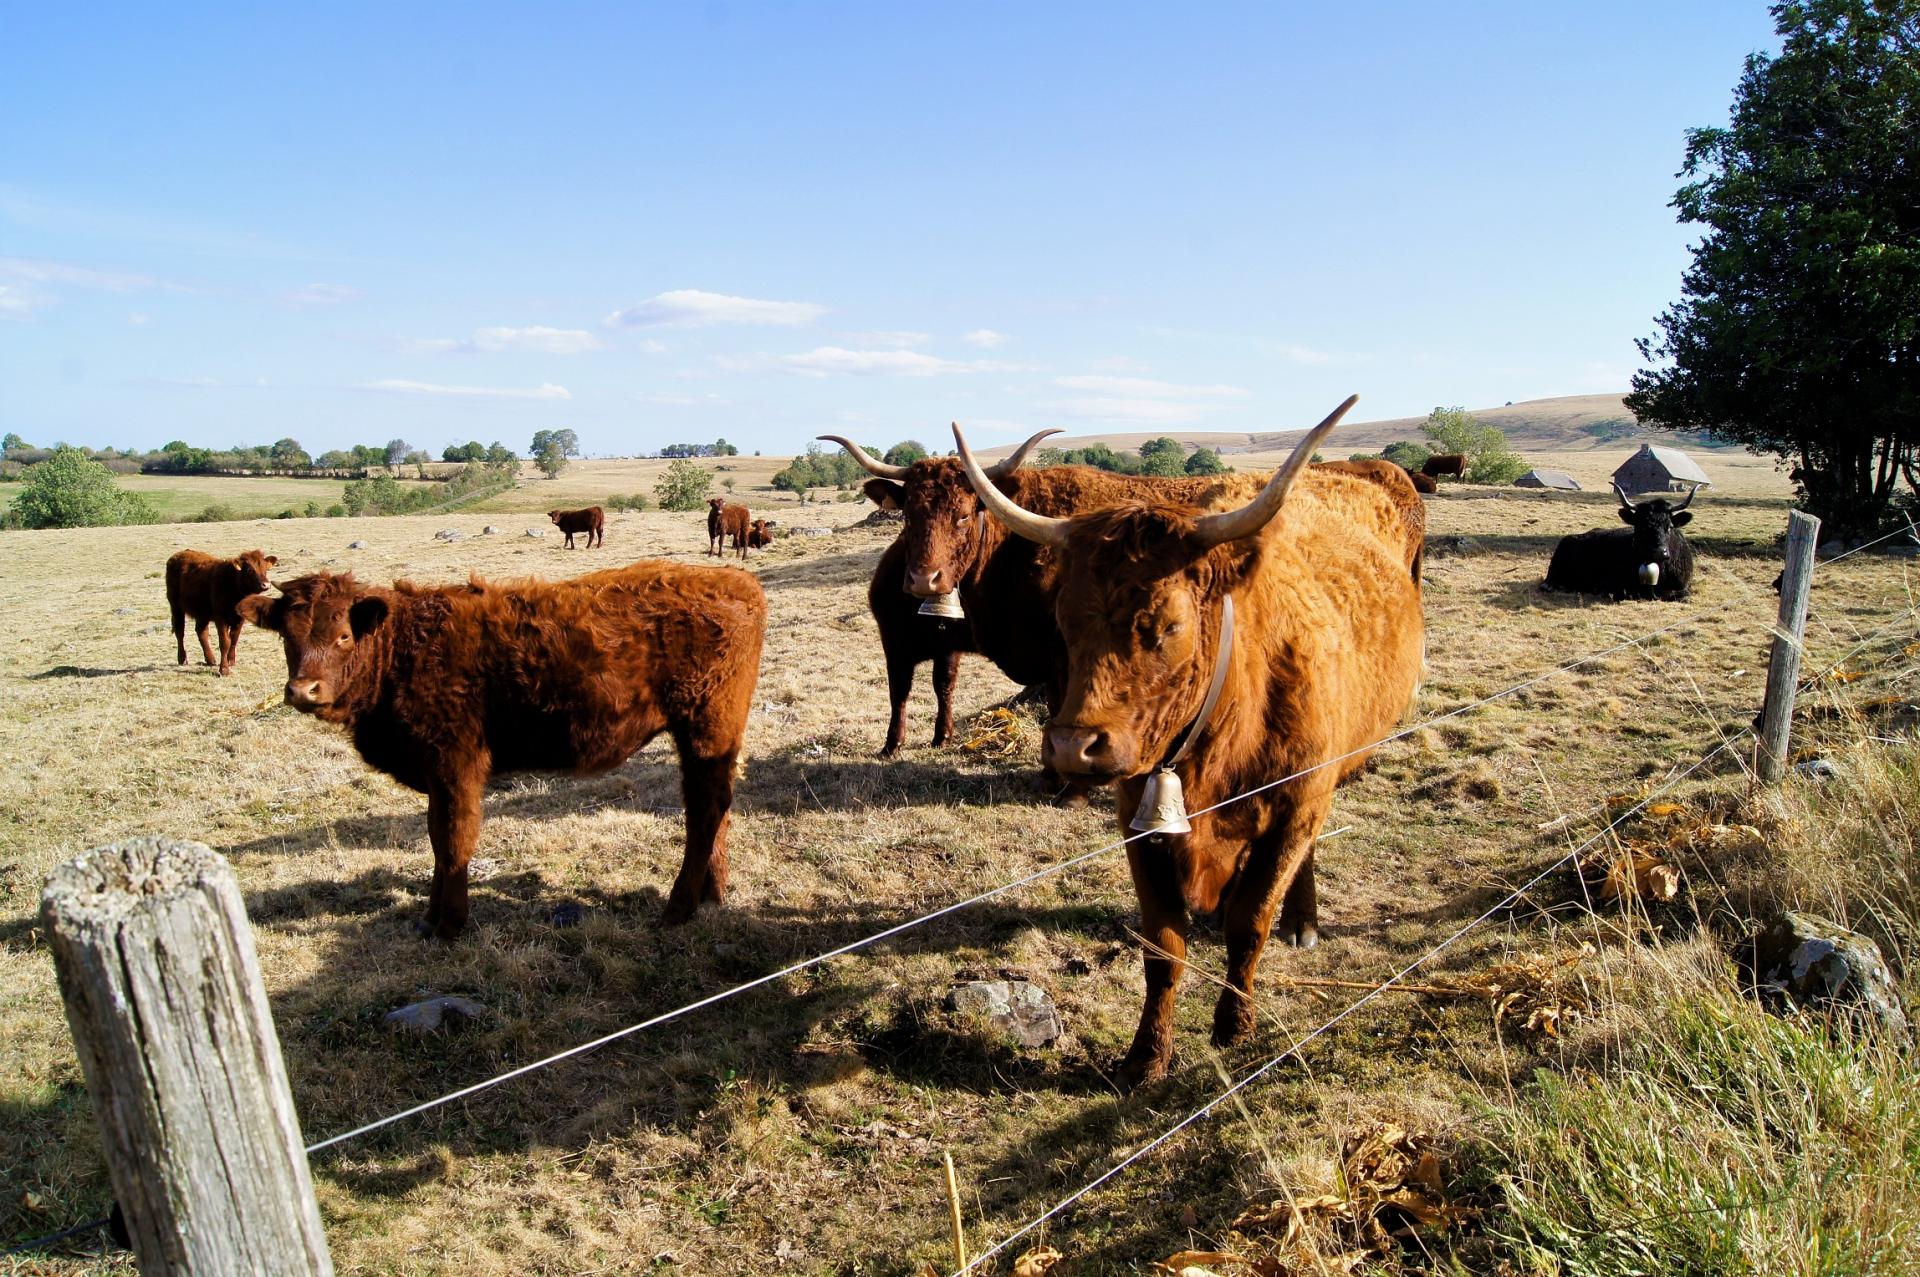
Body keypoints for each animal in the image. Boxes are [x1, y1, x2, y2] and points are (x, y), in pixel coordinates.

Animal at [243, 564, 768, 933]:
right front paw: (430, 918)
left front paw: (448, 925)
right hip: (707, 740)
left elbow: (453, 840)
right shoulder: (437, 776)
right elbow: (436, 838)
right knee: (713, 807)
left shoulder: (456, 768)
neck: (405, 645)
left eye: (343, 634)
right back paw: (712, 894)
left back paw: (678, 907)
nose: (303, 691)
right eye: (287, 637)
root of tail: (738, 581)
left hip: (705, 730)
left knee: (705, 809)